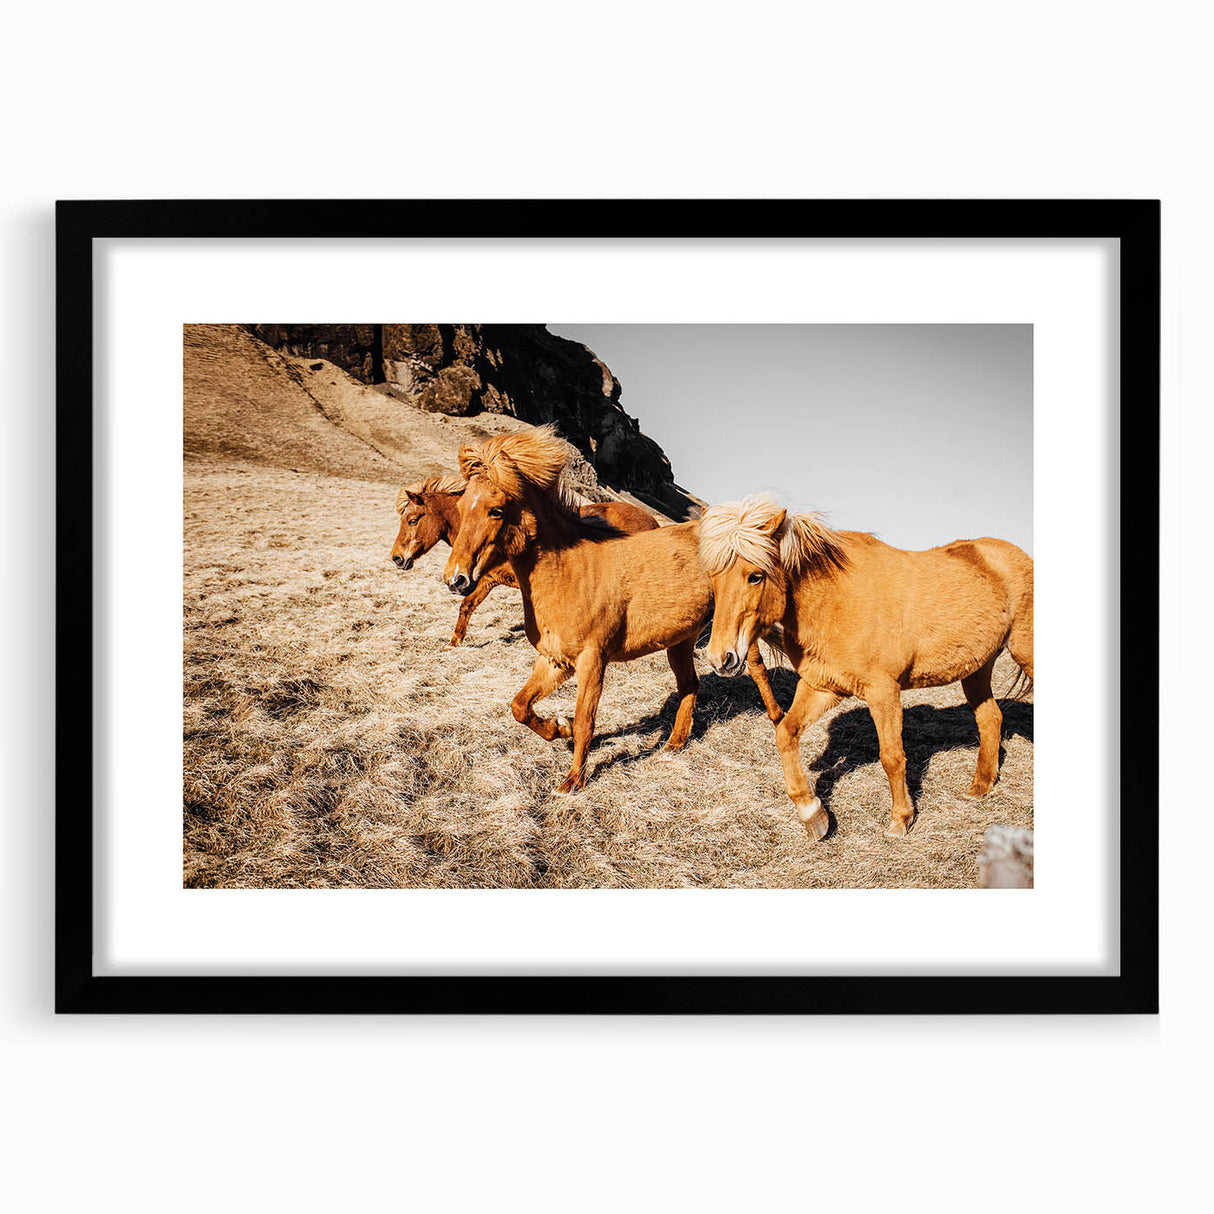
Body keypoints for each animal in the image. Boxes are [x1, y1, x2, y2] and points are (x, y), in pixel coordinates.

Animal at [390, 473, 659, 646]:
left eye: (412, 520)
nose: (397, 558)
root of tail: (651, 521)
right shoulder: (487, 580)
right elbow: (467, 606)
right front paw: (454, 642)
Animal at [442, 424, 786, 794]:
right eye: (460, 506)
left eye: (495, 510)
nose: (455, 578)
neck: (569, 572)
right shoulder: (554, 660)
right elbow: (520, 706)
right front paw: (558, 728)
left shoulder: (592, 660)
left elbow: (585, 721)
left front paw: (573, 780)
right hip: (680, 641)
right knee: (690, 685)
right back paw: (675, 743)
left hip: (734, 633)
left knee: (757, 669)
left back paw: (777, 718)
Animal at [698, 495, 1033, 841]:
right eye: (713, 577)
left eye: (755, 575)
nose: (721, 658)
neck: (835, 601)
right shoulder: (821, 686)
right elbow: (785, 733)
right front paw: (813, 813)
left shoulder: (883, 691)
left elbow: (892, 757)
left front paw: (901, 820)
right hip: (976, 669)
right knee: (991, 719)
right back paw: (980, 787)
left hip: (1025, 651)